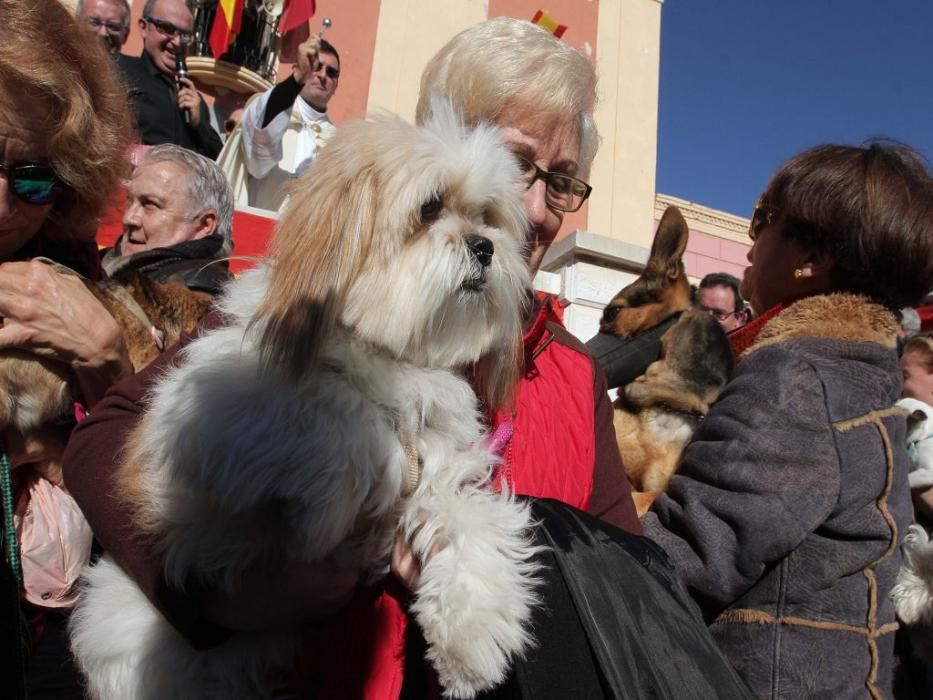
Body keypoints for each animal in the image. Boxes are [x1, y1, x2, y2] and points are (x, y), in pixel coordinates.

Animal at [69, 106, 540, 696]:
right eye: (429, 208)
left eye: (488, 216)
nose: (485, 246)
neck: (391, 358)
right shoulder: (211, 419)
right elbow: (332, 417)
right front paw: (342, 483)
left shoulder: (438, 467)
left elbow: (470, 517)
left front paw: (472, 632)